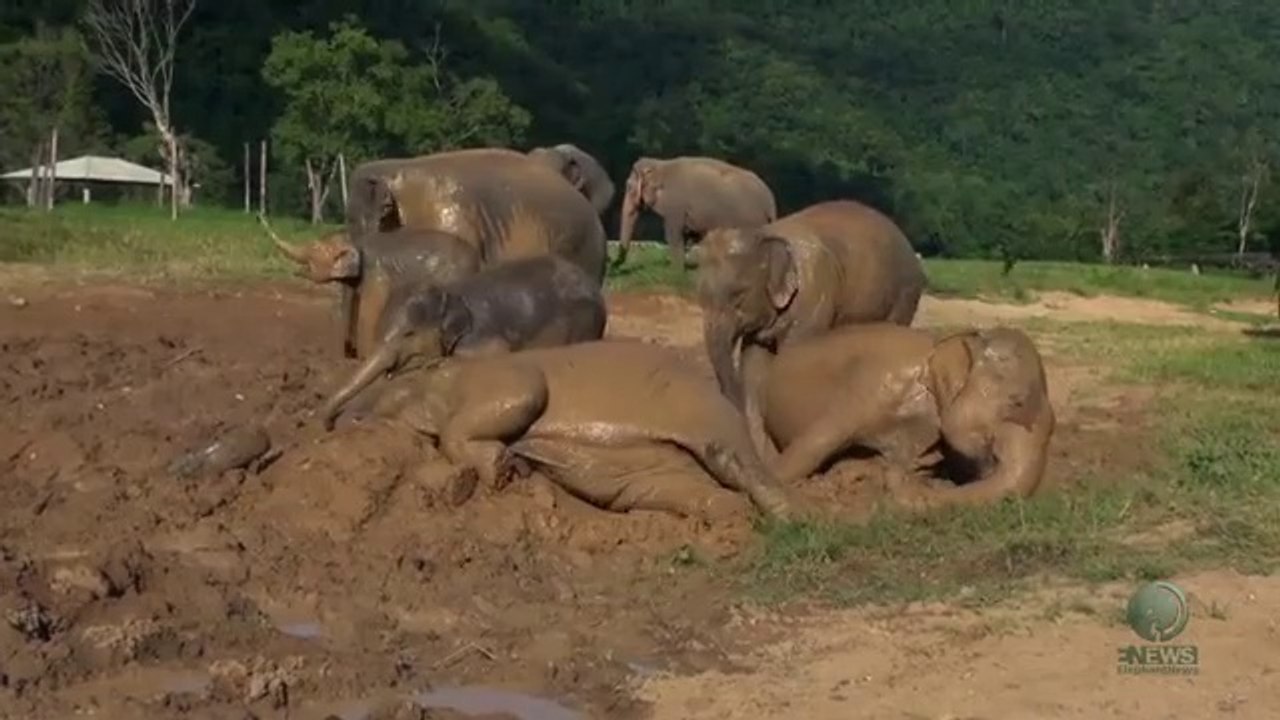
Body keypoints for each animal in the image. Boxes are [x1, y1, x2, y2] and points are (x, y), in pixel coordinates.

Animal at [263, 220, 482, 359]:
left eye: (315, 249)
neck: (355, 240)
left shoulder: (376, 274)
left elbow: (369, 312)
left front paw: (364, 357)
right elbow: (350, 305)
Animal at [319, 254, 609, 430]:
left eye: (408, 334)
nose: (330, 425)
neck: (447, 292)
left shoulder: (481, 335)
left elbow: (495, 352)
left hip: (583, 322)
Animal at [330, 340, 799, 522]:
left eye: (394, 375)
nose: (346, 418)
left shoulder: (502, 376)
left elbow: (524, 392)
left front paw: (498, 468)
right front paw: (509, 466)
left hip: (711, 422)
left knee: (738, 464)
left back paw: (793, 520)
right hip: (657, 475)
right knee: (698, 494)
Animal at [615, 156, 777, 270]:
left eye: (629, 187)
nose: (615, 264)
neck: (661, 164)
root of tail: (770, 201)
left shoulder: (676, 205)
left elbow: (673, 234)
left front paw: (675, 273)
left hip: (749, 220)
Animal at [695, 199, 927, 459]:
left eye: (738, 295)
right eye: (700, 296)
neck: (765, 234)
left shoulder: (815, 295)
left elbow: (791, 359)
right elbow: (753, 369)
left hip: (905, 295)